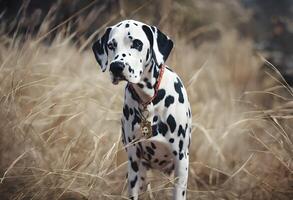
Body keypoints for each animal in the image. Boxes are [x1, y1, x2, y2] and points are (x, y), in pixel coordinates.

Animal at [92, 19, 192, 200]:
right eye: (111, 45)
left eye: (137, 43)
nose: (116, 67)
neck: (150, 100)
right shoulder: (134, 161)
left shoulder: (181, 160)